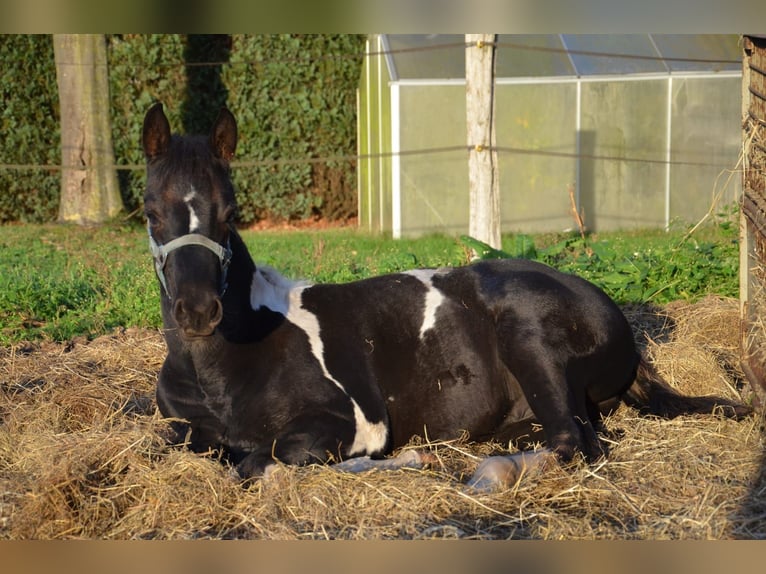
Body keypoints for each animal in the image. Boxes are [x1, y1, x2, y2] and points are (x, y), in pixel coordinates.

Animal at [141, 102, 751, 490]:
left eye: (230, 214)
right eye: (149, 212)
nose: (197, 312)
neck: (227, 366)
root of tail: (614, 317)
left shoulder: (346, 419)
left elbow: (261, 463)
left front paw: (397, 463)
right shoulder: (183, 426)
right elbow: (185, 442)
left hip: (527, 334)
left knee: (571, 442)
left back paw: (484, 475)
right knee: (569, 432)